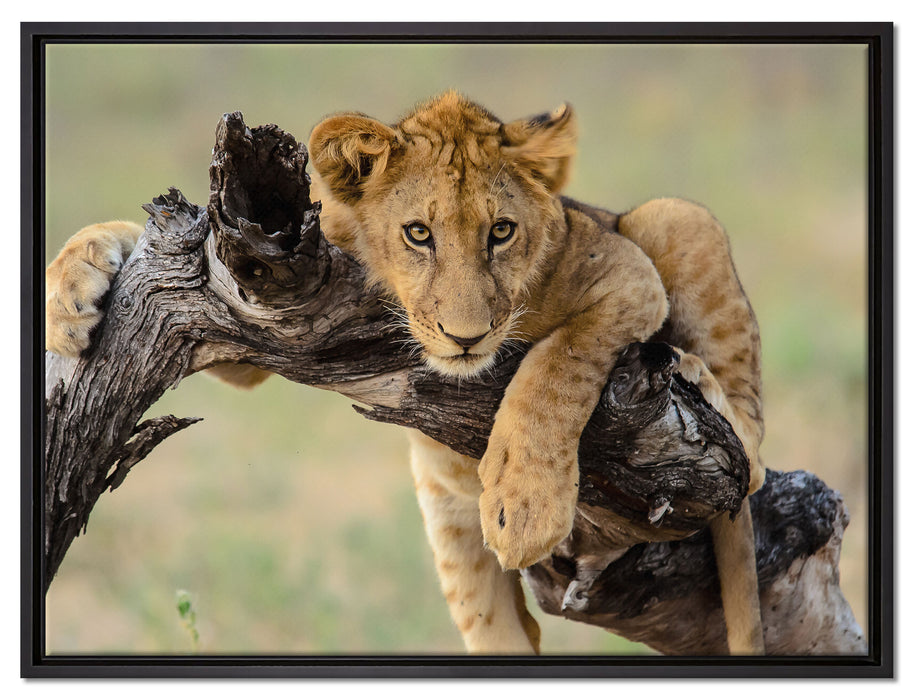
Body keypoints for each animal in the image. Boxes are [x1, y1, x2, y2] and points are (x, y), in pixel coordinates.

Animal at [45, 91, 766, 655]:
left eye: (502, 232)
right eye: (418, 233)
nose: (467, 335)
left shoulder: (628, 277)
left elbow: (555, 366)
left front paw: (527, 503)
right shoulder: (261, 293)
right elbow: (131, 236)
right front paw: (69, 299)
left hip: (675, 218)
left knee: (751, 454)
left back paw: (699, 379)